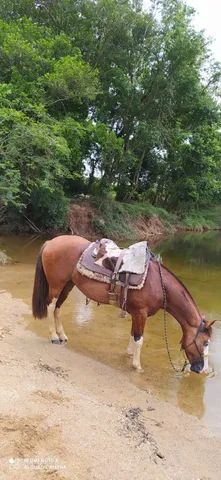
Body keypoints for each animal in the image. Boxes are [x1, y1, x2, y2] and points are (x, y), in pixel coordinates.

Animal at [32, 234, 213, 374]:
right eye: (205, 342)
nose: (202, 369)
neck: (158, 284)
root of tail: (51, 242)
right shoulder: (141, 313)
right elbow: (139, 338)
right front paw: (137, 365)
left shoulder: (136, 313)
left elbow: (133, 334)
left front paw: (129, 354)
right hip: (56, 285)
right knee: (50, 306)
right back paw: (54, 337)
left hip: (68, 285)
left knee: (57, 308)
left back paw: (62, 335)